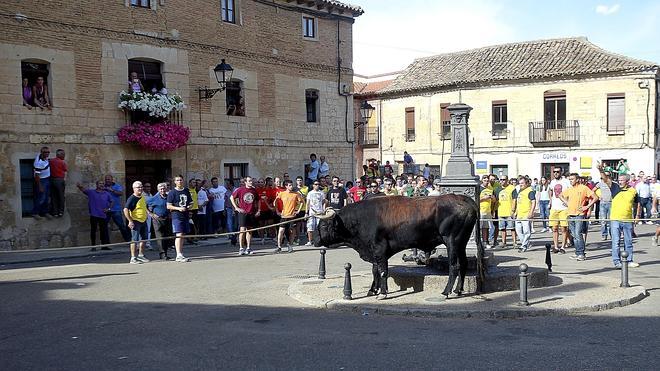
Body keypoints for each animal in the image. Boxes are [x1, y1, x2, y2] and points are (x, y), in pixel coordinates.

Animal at [312, 195, 482, 300]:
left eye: (324, 225)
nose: (314, 240)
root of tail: (463, 199)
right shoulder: (374, 251)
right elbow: (375, 270)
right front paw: (373, 289)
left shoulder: (379, 249)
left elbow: (382, 271)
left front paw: (382, 293)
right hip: (461, 242)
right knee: (463, 264)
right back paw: (458, 290)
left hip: (452, 241)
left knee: (454, 266)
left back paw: (446, 292)